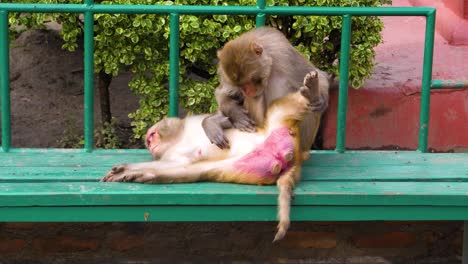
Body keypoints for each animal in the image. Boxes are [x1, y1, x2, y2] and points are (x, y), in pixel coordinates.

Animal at [102, 70, 322, 241]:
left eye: (154, 134)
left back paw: (311, 93)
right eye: (150, 140)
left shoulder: (191, 121)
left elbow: (229, 115)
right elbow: (177, 166)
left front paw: (215, 124)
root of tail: (294, 157)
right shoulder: (172, 155)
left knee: (279, 108)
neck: (178, 138)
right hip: (248, 165)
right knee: (200, 171)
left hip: (280, 125)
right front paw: (129, 170)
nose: (150, 141)